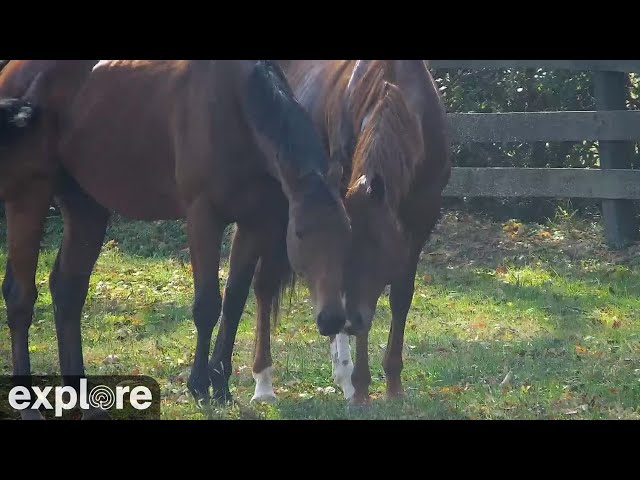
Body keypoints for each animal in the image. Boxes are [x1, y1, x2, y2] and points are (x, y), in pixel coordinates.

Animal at [0, 60, 350, 418]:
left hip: (86, 208)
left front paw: (221, 388)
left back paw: (86, 403)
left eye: (347, 232)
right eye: (300, 233)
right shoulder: (202, 217)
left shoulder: (253, 222)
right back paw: (29, 407)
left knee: (67, 292)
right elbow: (207, 305)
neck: (236, 107)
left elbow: (234, 302)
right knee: (20, 296)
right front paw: (199, 387)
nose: (333, 319)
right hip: (29, 196)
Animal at [218, 60, 452, 404]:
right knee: (261, 286)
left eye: (383, 251)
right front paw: (360, 387)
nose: (352, 321)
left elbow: (400, 298)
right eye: (346, 249)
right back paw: (265, 382)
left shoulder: (419, 223)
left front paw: (393, 384)